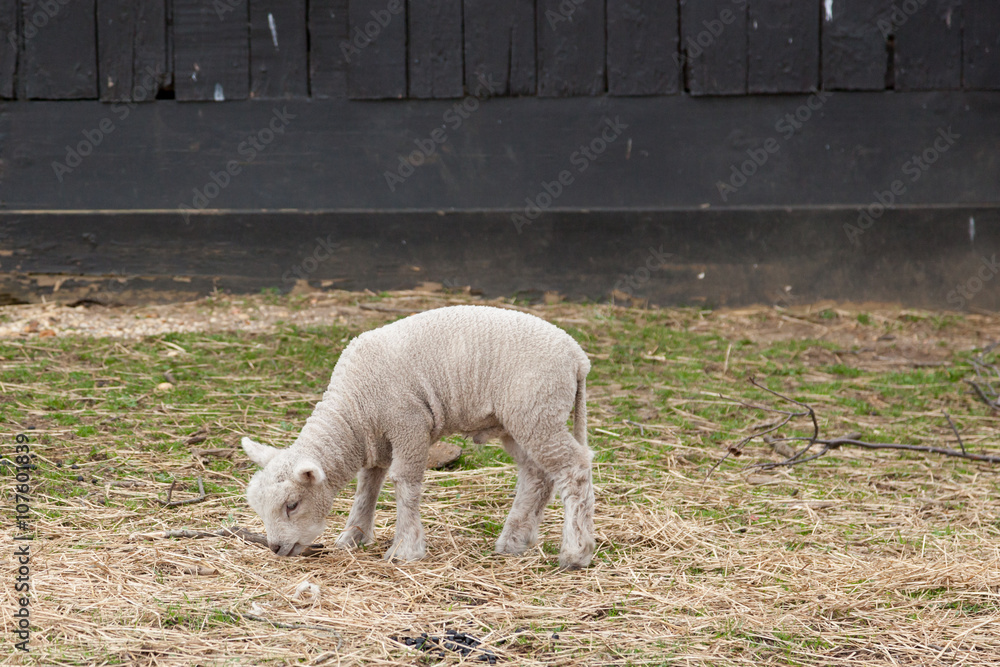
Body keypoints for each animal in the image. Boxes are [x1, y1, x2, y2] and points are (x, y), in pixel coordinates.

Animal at [241, 304, 595, 569]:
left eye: (292, 505)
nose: (275, 547)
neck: (353, 410)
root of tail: (578, 355)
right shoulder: (377, 440)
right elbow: (367, 488)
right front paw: (352, 537)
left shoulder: (408, 424)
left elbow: (405, 483)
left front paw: (406, 549)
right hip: (518, 420)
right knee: (537, 475)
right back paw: (514, 541)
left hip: (537, 409)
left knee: (574, 469)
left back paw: (576, 552)